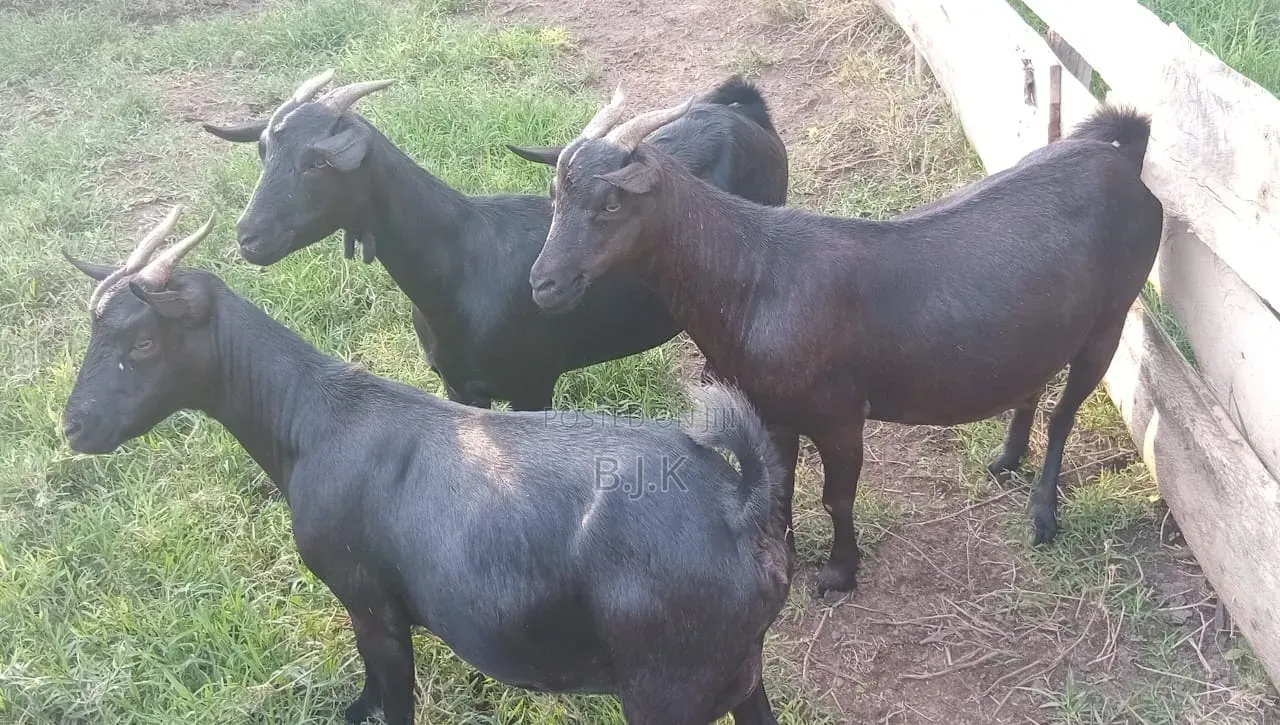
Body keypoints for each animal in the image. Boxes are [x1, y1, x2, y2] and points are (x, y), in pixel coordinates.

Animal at [60, 206, 794, 725]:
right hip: (740, 675)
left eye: (143, 342)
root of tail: (741, 508)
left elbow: (394, 694)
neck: (316, 421)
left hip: (667, 689)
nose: (74, 426)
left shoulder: (371, 602)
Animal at [201, 70, 788, 411]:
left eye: (318, 163)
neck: (463, 267)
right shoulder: (459, 389)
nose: (249, 237)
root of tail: (746, 112)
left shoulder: (533, 387)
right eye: (263, 152)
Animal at [527, 95, 1164, 597]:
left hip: (1111, 318)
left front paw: (839, 574)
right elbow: (779, 484)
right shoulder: (773, 412)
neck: (756, 279)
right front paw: (784, 557)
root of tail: (1122, 158)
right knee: (1033, 383)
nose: (543, 284)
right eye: (556, 197)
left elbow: (837, 497)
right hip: (1042, 326)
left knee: (1065, 413)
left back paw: (1043, 514)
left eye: (612, 203)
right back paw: (1006, 459)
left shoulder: (839, 415)